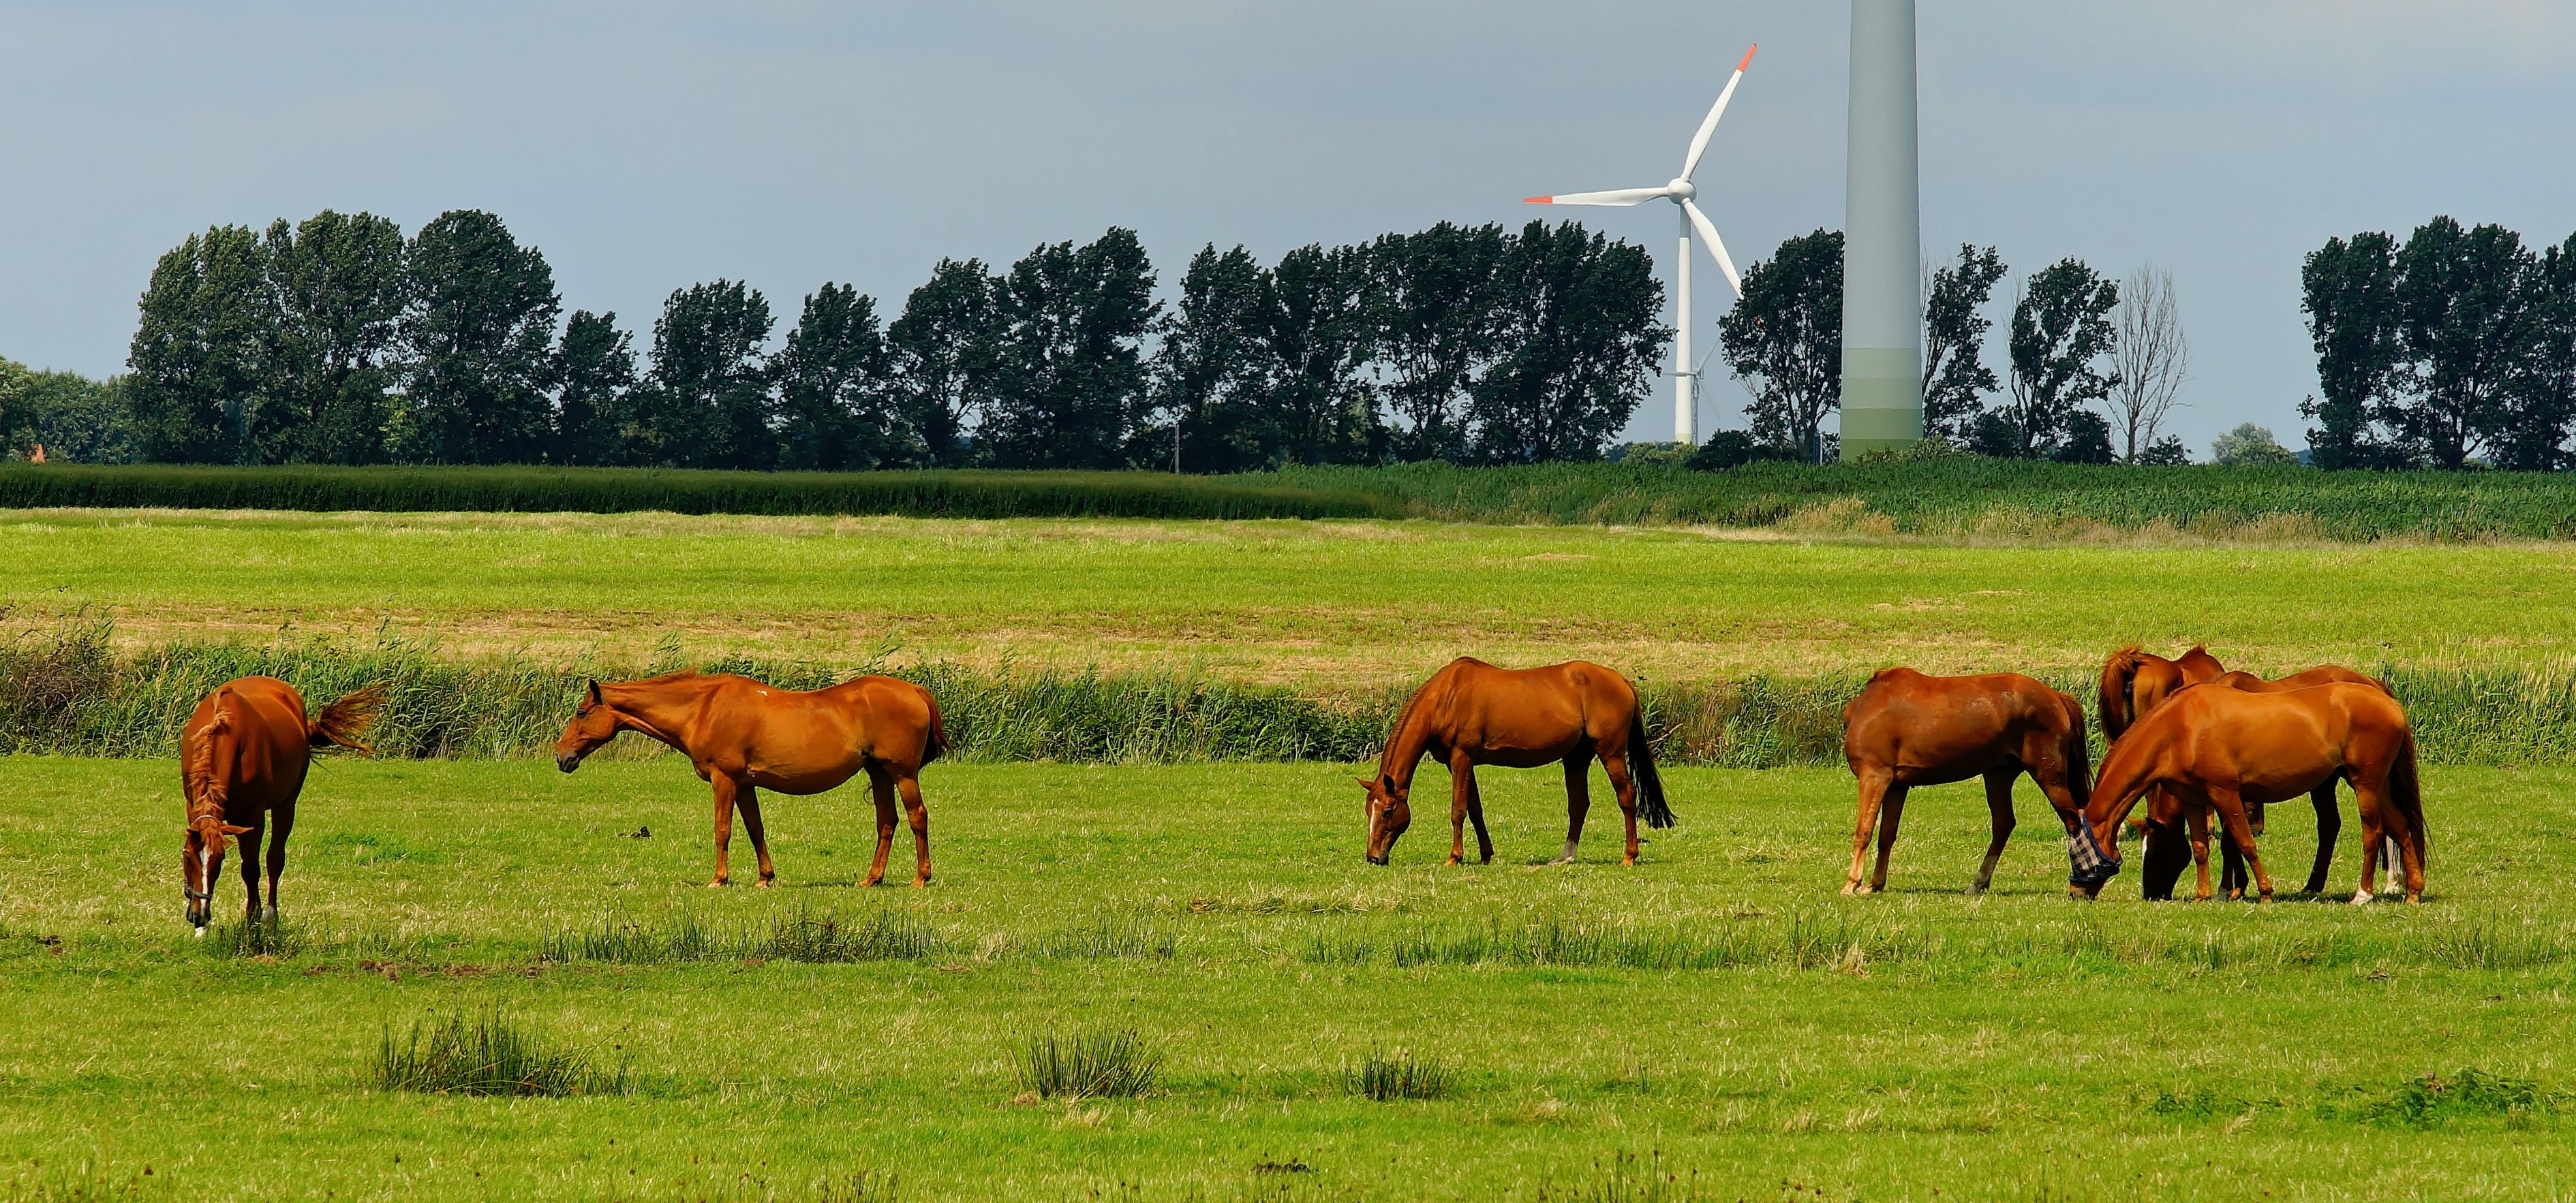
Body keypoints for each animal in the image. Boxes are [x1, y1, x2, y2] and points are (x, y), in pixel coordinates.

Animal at [177, 680, 381, 932]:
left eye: (220, 859)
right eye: (188, 857)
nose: (199, 915)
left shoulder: (252, 818)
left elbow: (250, 869)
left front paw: (253, 917)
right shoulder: (194, 808)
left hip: (286, 805)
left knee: (274, 859)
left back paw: (271, 915)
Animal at [553, 674, 948, 891]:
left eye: (581, 712)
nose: (561, 756)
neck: (704, 708)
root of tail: (914, 691)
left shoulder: (724, 780)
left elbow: (723, 830)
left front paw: (719, 879)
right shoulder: (744, 785)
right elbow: (755, 829)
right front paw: (765, 877)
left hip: (902, 774)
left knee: (917, 818)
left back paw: (921, 878)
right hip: (878, 773)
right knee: (887, 822)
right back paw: (872, 878)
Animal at [1360, 659, 1679, 865]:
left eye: (1388, 811)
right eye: (1368, 811)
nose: (1374, 857)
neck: (1447, 697)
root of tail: (1620, 680)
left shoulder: (1461, 757)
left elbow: (1458, 810)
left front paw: (1454, 857)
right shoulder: (1461, 762)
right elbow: (1475, 809)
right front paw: (1486, 855)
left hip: (1610, 753)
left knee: (1627, 796)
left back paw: (1629, 856)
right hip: (1576, 757)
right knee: (1579, 804)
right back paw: (1565, 857)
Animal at [1834, 674, 2091, 901]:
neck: (1871, 703)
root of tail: (2056, 697)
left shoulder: (1875, 775)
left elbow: (1864, 831)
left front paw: (1851, 884)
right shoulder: (1898, 786)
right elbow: (1886, 835)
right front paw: (1874, 885)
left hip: (2049, 777)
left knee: (2073, 821)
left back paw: (2084, 884)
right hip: (1998, 775)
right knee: (2004, 824)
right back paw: (1978, 883)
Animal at [2071, 685, 2432, 907]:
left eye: (2079, 855)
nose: (2075, 892)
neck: (2180, 728)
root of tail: (2390, 703)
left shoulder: (2225, 793)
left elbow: (2244, 843)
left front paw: (2265, 892)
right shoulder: (2194, 800)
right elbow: (2201, 848)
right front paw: (2204, 896)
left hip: (2365, 785)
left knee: (2374, 833)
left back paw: (2363, 894)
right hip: (2377, 786)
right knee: (2400, 827)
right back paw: (2413, 892)